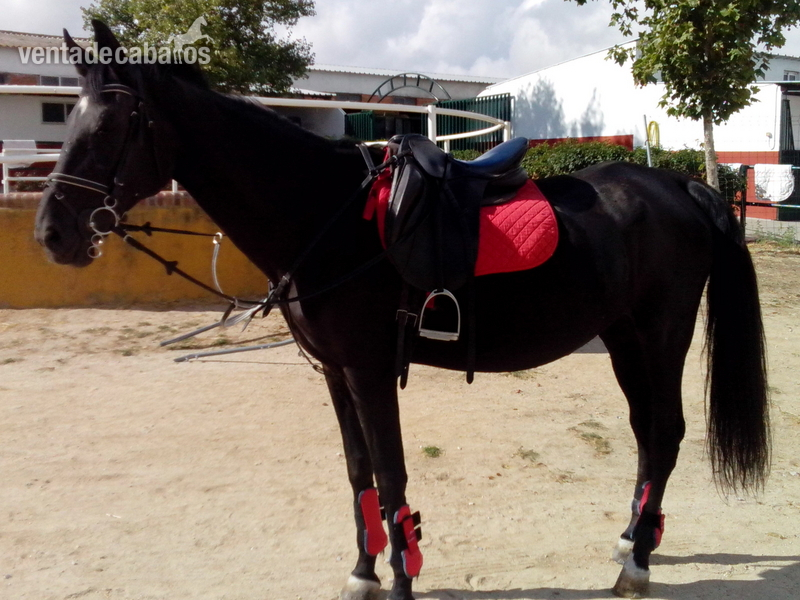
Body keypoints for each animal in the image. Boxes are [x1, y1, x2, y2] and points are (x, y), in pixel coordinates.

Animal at [35, 21, 770, 600]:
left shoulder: (367, 369)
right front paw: (364, 572)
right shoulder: (335, 373)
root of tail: (680, 184)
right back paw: (630, 538)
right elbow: (360, 474)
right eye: (65, 121)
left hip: (660, 335)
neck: (326, 217)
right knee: (647, 434)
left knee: (666, 433)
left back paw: (638, 563)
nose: (51, 234)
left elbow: (391, 476)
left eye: (111, 125)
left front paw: (400, 579)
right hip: (622, 338)